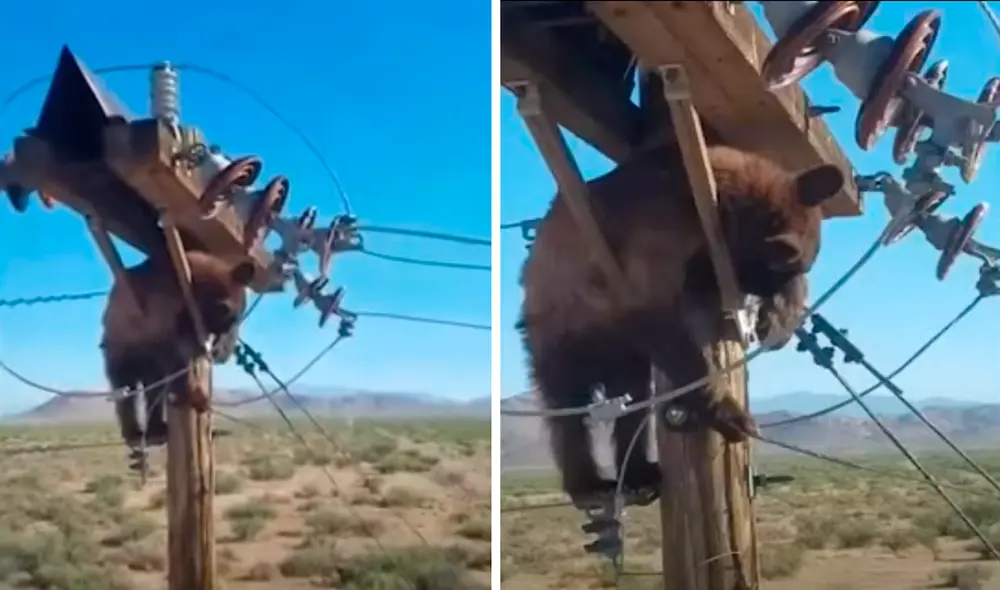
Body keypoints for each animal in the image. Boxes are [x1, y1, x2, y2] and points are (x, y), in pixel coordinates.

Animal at [100, 248, 256, 448]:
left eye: (236, 317)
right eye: (226, 312)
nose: (222, 351)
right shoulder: (163, 314)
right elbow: (179, 351)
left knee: (153, 388)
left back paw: (157, 428)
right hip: (120, 350)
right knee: (125, 387)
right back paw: (135, 432)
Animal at [517, 143, 844, 507]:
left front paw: (779, 320)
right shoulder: (662, 229)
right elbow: (656, 313)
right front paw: (728, 412)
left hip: (623, 358)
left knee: (633, 402)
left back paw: (639, 473)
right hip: (560, 333)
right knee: (568, 410)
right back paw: (588, 484)